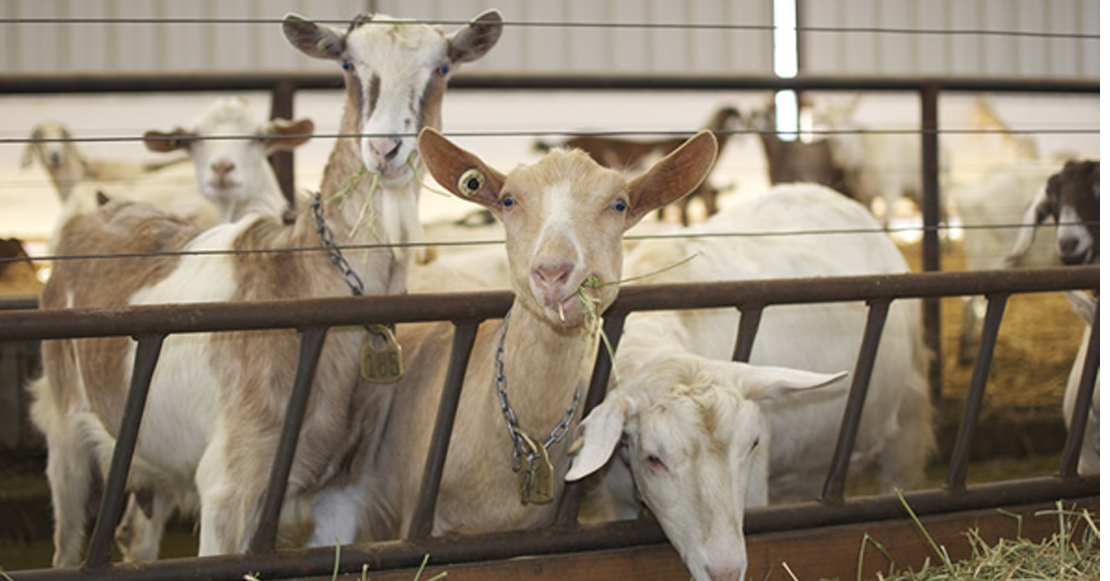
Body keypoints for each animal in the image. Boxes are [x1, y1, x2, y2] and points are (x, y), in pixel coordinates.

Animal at [568, 184, 932, 581]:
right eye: (653, 458)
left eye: (752, 443)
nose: (725, 570)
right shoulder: (619, 496)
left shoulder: (756, 482)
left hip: (909, 422)